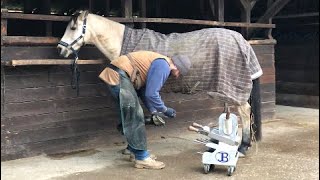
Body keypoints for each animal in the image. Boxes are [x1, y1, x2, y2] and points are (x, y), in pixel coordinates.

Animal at [57, 10, 262, 156]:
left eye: (73, 28)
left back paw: (243, 147)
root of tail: (241, 40)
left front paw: (131, 147)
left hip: (231, 85)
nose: (60, 49)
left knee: (245, 110)